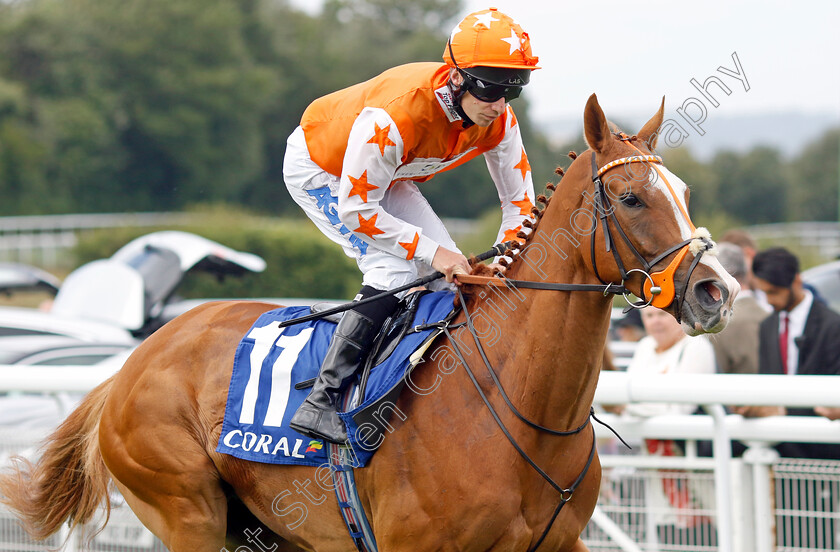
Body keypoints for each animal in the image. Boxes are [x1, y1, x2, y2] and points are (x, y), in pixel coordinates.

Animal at [0, 96, 736, 552]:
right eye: (632, 198)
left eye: (685, 194)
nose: (715, 290)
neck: (520, 405)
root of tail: (128, 367)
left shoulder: (563, 541)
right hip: (188, 512)